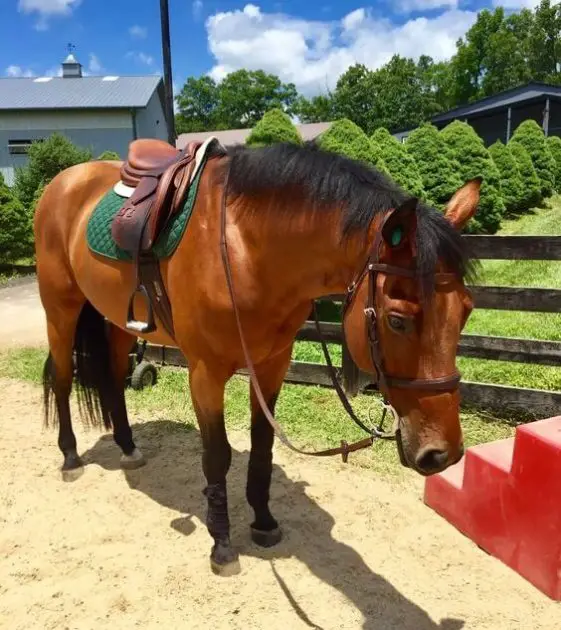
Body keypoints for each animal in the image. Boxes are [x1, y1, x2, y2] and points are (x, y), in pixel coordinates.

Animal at [35, 142, 480, 576]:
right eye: (397, 320)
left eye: (467, 310)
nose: (445, 453)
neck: (244, 248)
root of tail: (64, 180)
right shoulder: (205, 373)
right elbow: (217, 456)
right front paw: (221, 543)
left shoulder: (271, 365)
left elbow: (263, 446)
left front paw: (263, 522)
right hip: (60, 308)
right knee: (62, 376)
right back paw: (70, 457)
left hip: (117, 321)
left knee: (112, 376)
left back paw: (128, 447)